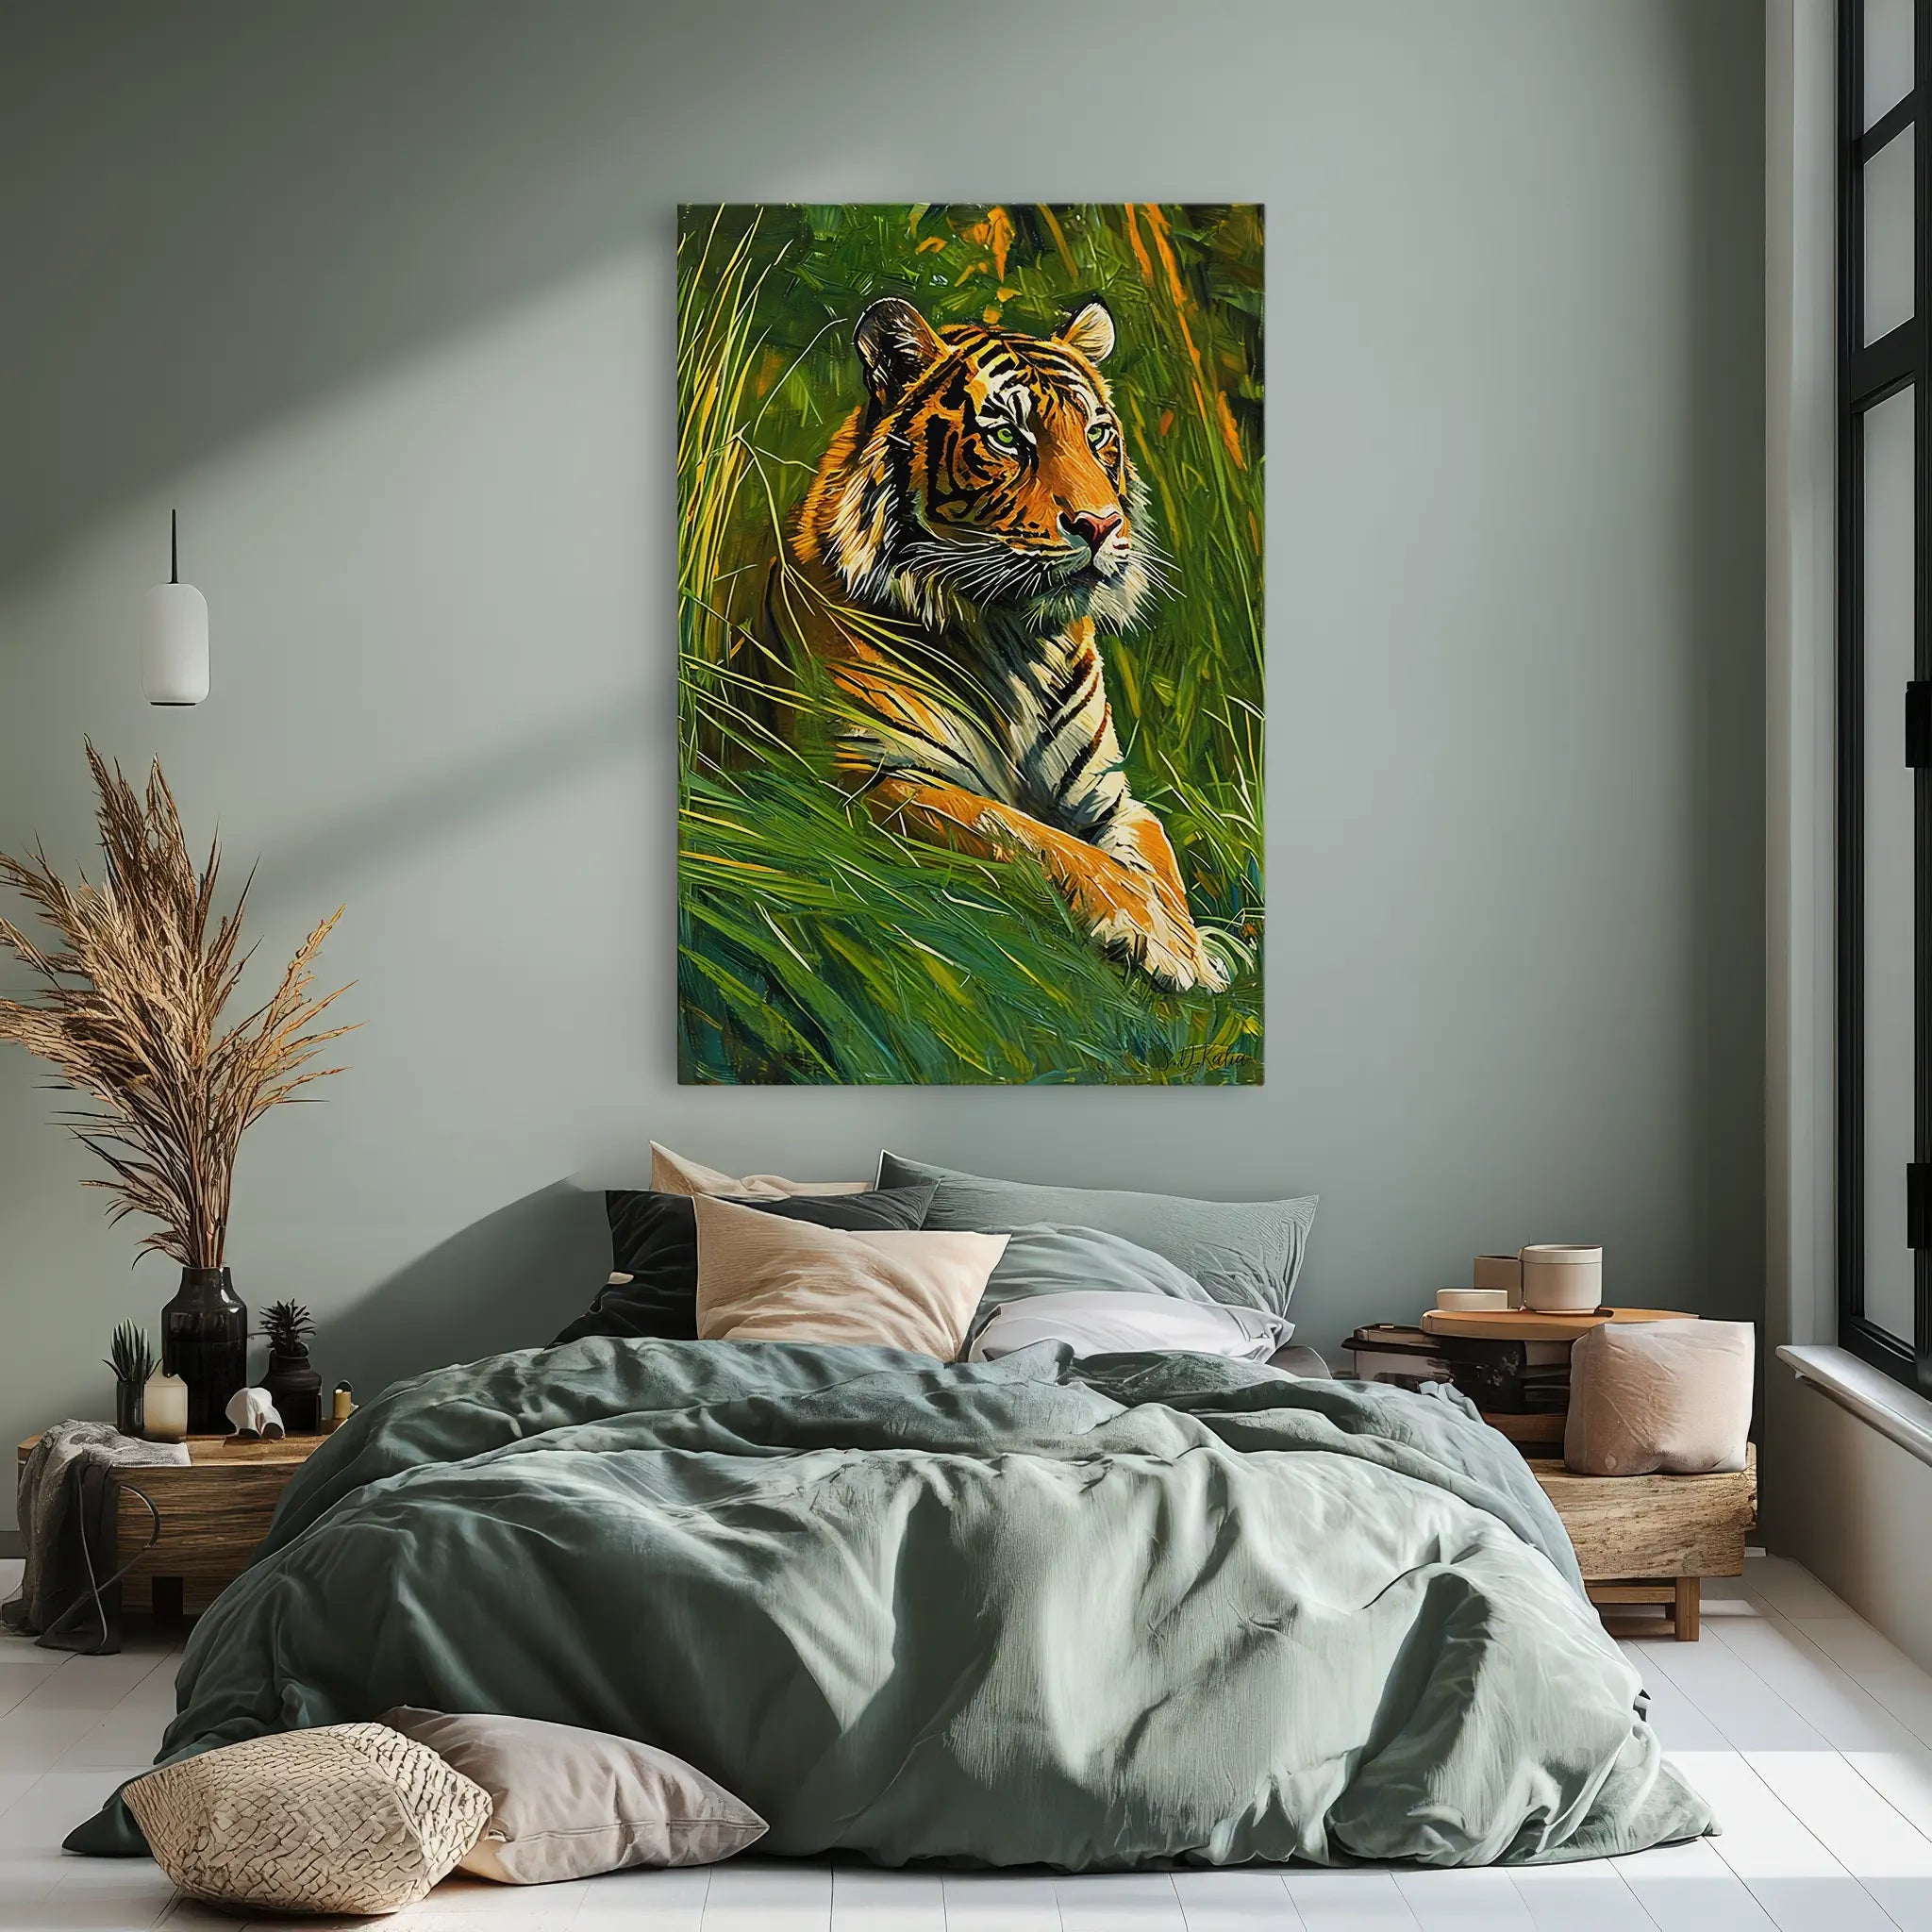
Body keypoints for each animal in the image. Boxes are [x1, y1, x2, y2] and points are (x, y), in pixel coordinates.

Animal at [765, 294, 1229, 994]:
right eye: (1009, 436)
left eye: (1098, 436)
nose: (1102, 524)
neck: (1015, 638)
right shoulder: (873, 776)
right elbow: (1028, 834)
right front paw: (1157, 937)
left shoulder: (1111, 798)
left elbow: (1158, 858)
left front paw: (1194, 945)